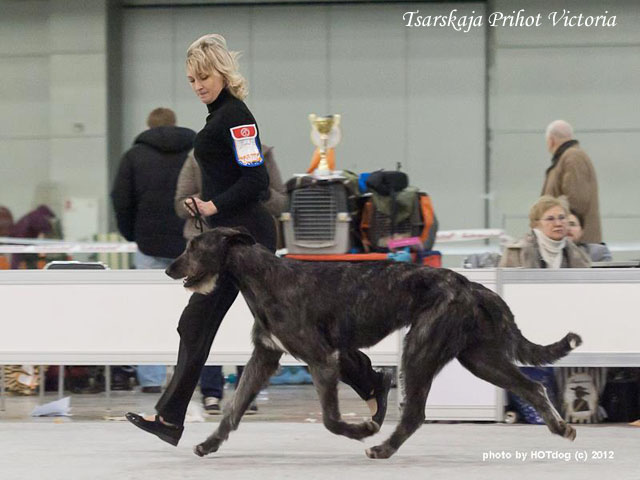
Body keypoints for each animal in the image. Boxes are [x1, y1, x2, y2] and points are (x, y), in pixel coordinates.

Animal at [166, 227, 584, 460]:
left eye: (194, 244)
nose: (169, 267)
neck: (263, 277)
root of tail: (472, 285)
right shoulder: (265, 357)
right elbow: (234, 409)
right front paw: (210, 443)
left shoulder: (322, 358)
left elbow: (331, 419)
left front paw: (363, 429)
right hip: (479, 357)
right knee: (530, 386)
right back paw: (559, 427)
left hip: (420, 348)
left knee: (414, 413)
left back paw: (381, 447)